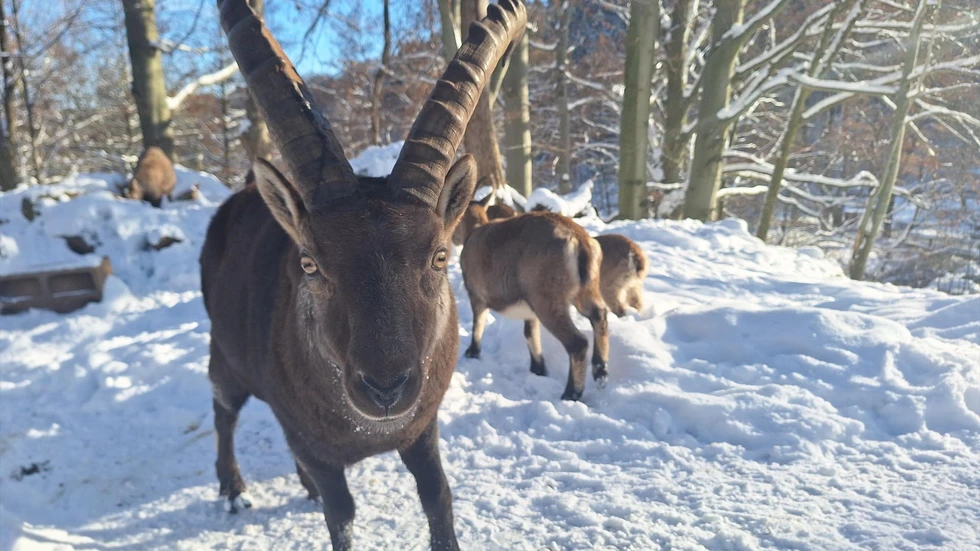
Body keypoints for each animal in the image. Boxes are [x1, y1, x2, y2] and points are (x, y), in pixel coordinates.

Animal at [202, 1, 526, 550]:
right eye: (309, 262)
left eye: (440, 255)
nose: (386, 389)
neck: (371, 434)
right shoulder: (316, 441)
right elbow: (342, 513)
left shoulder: (422, 427)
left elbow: (437, 496)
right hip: (224, 351)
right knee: (224, 411)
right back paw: (232, 489)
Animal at [459, 212, 609, 401]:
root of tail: (580, 241)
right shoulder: (530, 312)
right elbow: (530, 333)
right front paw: (538, 369)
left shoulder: (476, 295)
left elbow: (477, 324)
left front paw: (472, 352)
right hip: (586, 290)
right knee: (599, 314)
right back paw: (600, 371)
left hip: (547, 301)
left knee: (578, 342)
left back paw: (571, 393)